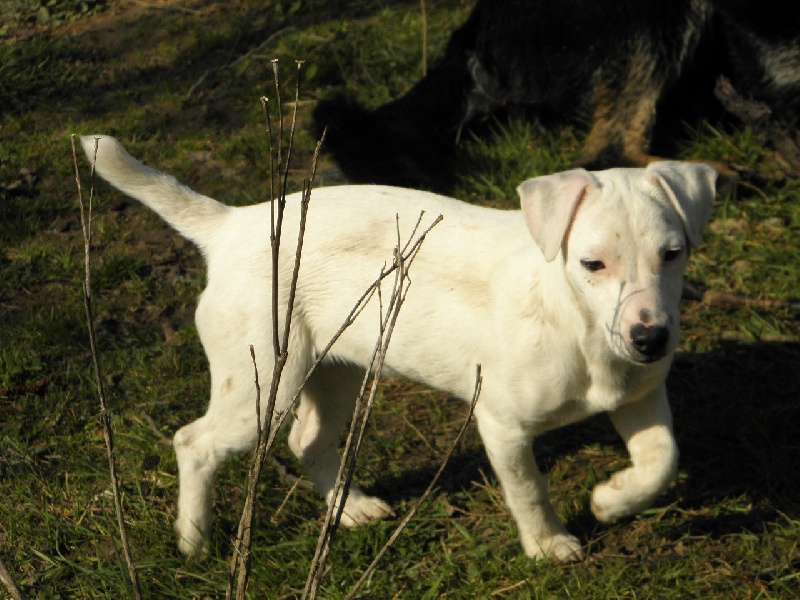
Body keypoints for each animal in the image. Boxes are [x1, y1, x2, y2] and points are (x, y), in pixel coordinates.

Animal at [83, 136, 720, 564]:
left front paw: (612, 501)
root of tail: (231, 226)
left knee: (306, 441)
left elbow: (662, 459)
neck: (576, 322)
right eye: (592, 264)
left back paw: (351, 509)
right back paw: (193, 541)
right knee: (195, 442)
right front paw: (549, 544)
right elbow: (529, 488)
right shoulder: (503, 423)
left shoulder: (641, 396)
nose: (650, 338)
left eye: (673, 254)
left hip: (332, 372)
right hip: (263, 386)